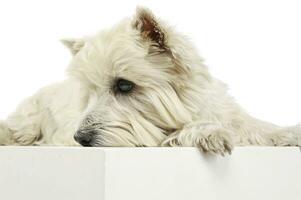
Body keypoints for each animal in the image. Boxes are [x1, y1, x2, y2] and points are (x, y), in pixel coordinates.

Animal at [0, 6, 298, 155]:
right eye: (91, 92)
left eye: (124, 85)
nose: (80, 138)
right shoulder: (150, 137)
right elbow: (180, 132)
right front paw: (209, 133)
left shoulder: (224, 110)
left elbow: (253, 125)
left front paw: (289, 133)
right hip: (28, 119)